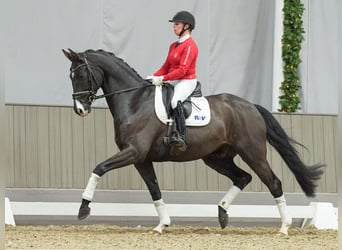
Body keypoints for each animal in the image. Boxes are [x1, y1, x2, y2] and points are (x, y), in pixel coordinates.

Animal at [62, 48, 324, 234]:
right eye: (71, 76)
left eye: (82, 74)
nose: (80, 109)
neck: (134, 101)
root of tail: (250, 106)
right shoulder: (141, 159)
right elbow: (154, 189)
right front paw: (162, 224)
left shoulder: (134, 152)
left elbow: (99, 168)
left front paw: (83, 208)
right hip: (216, 158)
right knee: (243, 178)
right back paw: (222, 214)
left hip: (253, 153)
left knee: (273, 182)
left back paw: (284, 227)